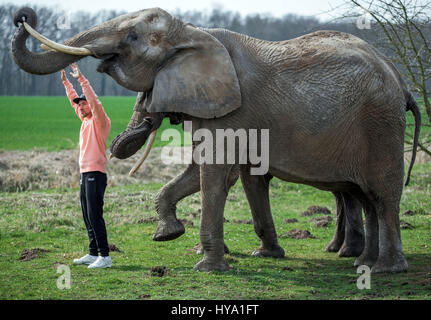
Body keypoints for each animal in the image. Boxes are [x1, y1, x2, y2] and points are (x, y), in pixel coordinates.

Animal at [11, 7, 422, 272]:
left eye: (132, 37)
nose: (23, 16)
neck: (193, 32)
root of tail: (401, 82)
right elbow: (210, 172)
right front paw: (171, 235)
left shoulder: (231, 111)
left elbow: (213, 173)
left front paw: (206, 266)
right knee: (367, 197)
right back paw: (363, 262)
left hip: (380, 125)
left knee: (381, 195)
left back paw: (384, 270)